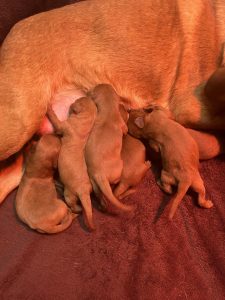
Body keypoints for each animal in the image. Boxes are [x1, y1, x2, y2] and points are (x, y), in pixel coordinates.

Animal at [47, 96, 97, 230]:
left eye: (76, 101)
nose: (72, 102)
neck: (86, 122)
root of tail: (83, 191)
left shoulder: (64, 126)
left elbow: (55, 120)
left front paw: (48, 108)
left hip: (69, 194)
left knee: (74, 205)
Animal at [85, 83, 133, 212]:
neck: (109, 111)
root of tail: (100, 174)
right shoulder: (122, 124)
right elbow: (125, 129)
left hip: (93, 181)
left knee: (98, 193)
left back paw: (102, 204)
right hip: (119, 166)